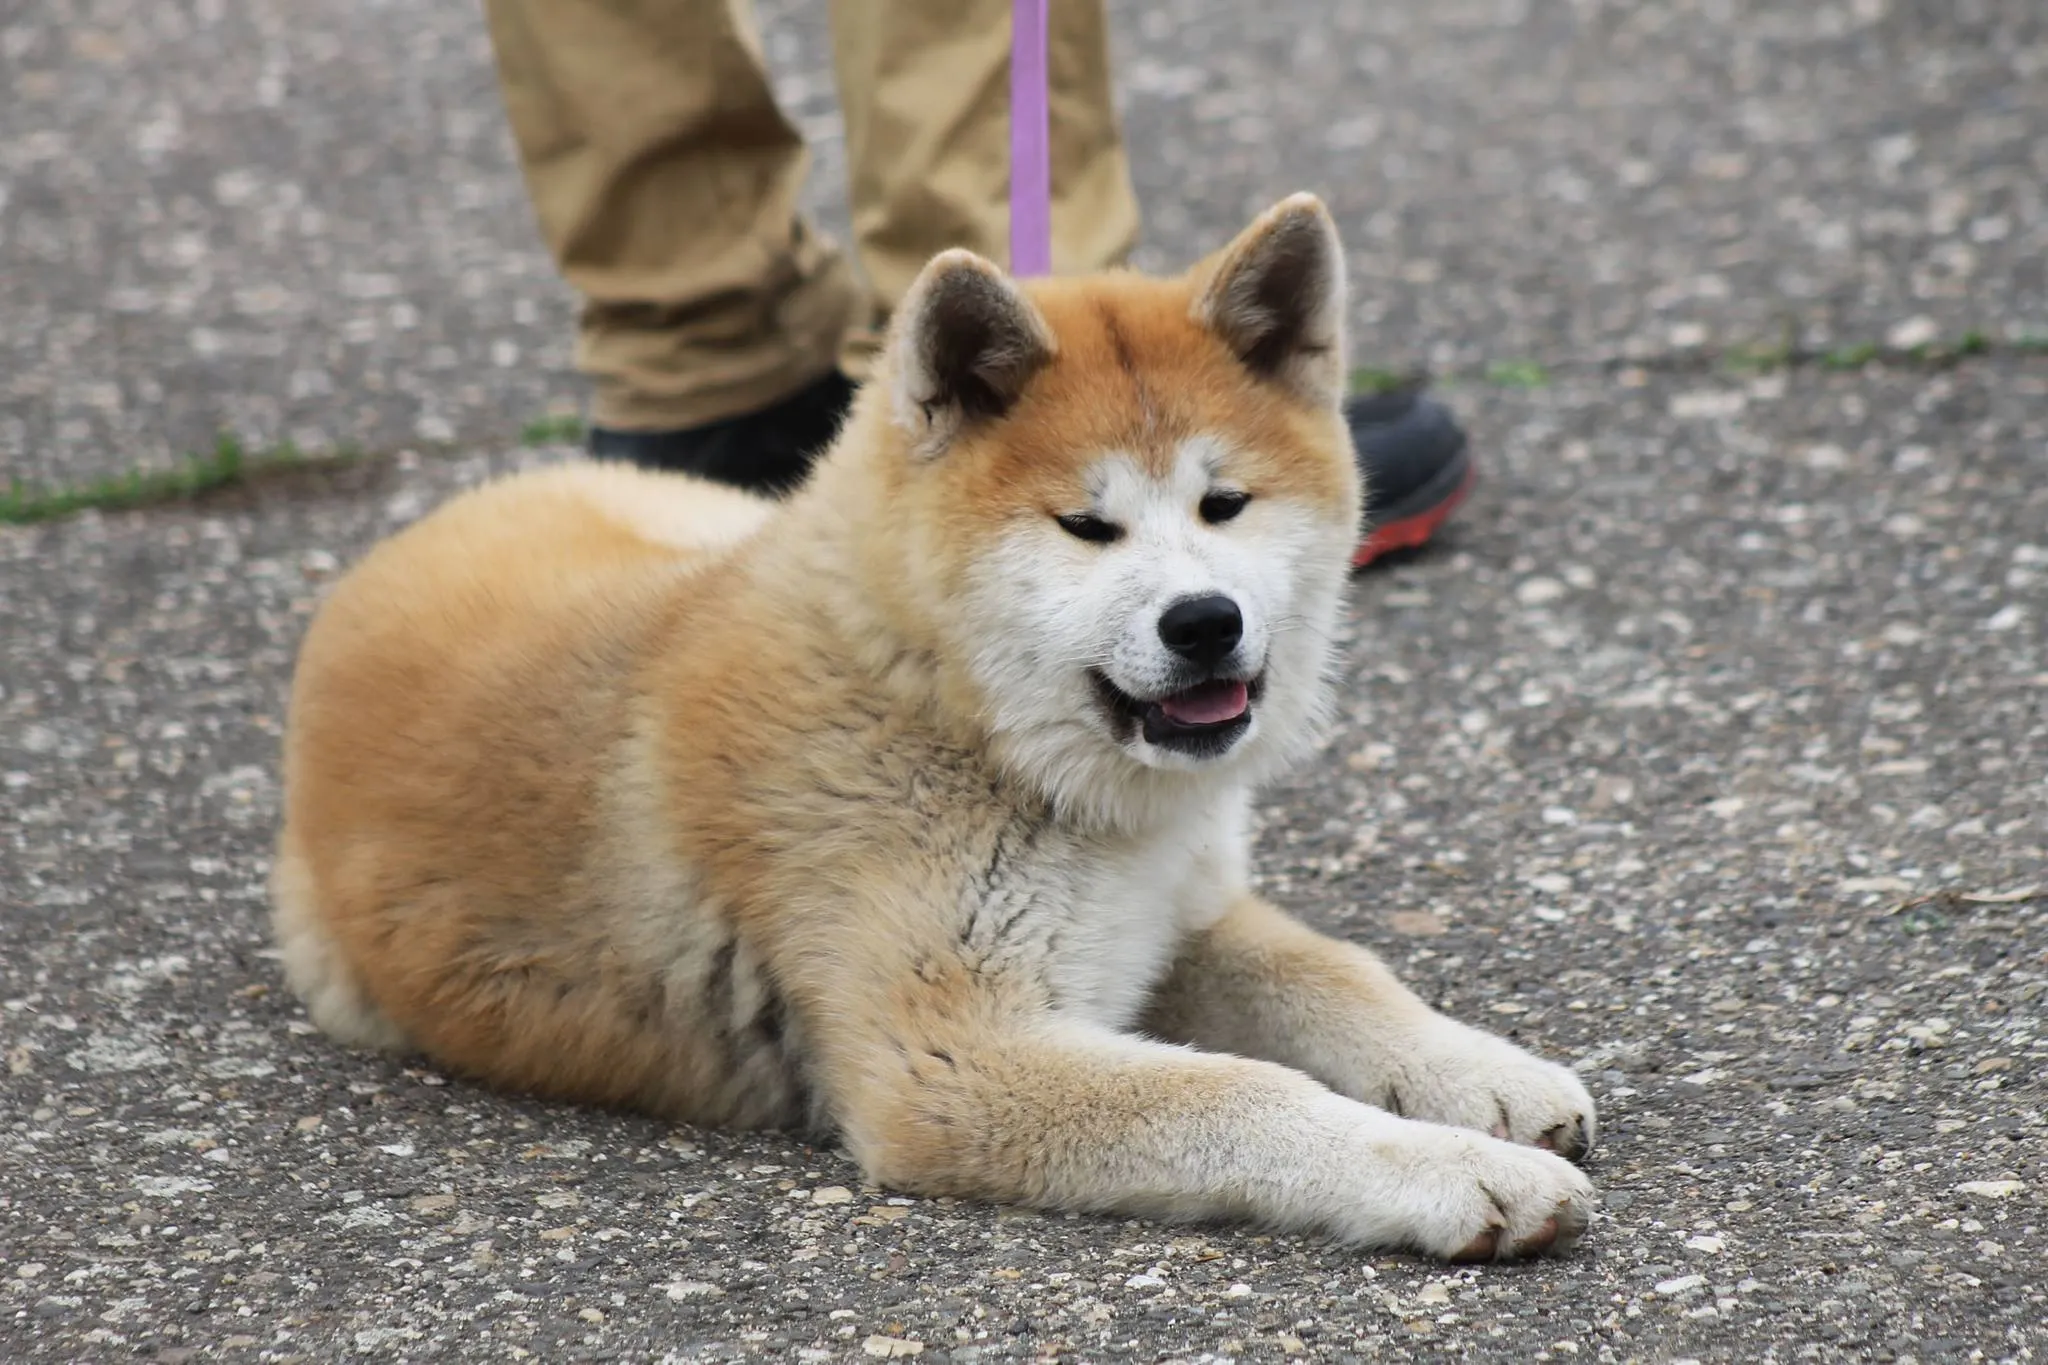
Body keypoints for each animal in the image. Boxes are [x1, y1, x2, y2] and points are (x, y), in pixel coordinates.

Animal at [272, 192, 1589, 1260]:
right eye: (1084, 527)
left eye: (1225, 504)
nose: (1204, 622)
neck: (958, 721)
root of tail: (395, 548)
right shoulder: (952, 1065)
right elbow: (1244, 1093)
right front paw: (1454, 1174)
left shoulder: (1177, 913)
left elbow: (1333, 973)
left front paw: (1480, 1075)